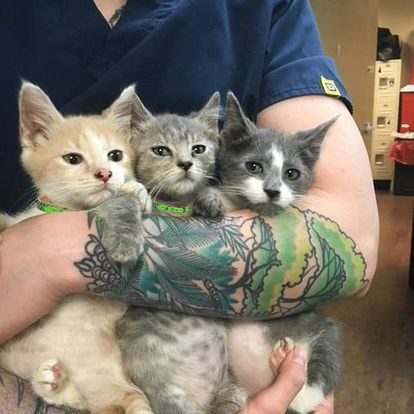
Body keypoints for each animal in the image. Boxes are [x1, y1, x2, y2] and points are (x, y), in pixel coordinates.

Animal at [0, 83, 154, 414]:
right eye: (73, 159)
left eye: (115, 155)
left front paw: (133, 189)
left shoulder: (115, 301)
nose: (105, 174)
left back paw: (56, 383)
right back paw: (53, 382)